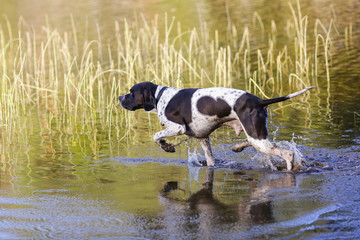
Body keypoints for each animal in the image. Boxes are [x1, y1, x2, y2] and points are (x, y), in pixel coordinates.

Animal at [117, 82, 312, 171]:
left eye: (131, 92)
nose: (119, 97)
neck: (161, 97)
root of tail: (259, 101)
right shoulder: (203, 138)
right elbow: (210, 161)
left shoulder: (177, 128)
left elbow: (156, 135)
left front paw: (167, 146)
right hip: (256, 135)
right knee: (251, 143)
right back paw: (237, 147)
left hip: (258, 138)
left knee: (287, 153)